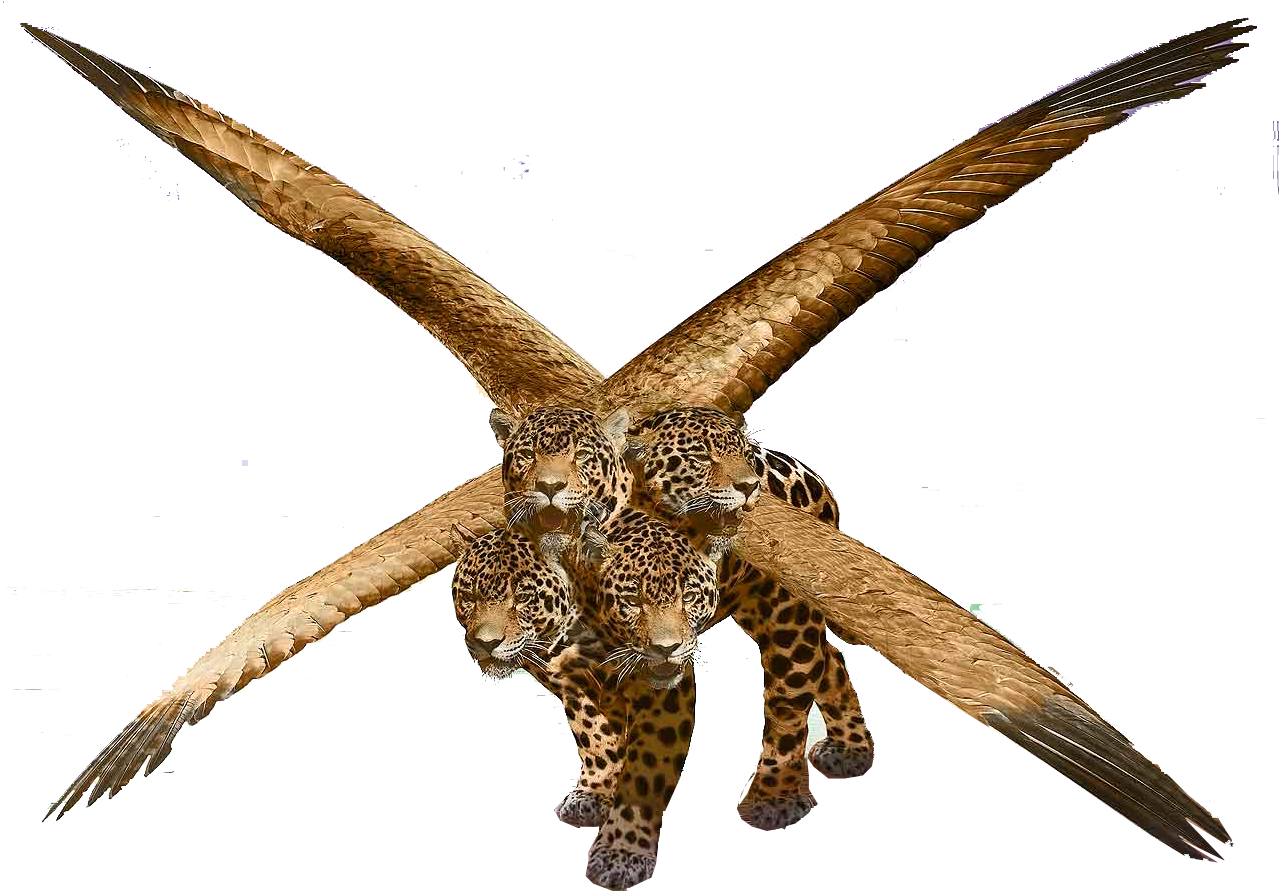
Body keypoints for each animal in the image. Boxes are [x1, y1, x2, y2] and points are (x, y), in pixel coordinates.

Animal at [625, 406, 874, 831]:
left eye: (741, 455)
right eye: (700, 457)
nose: (748, 486)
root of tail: (818, 483)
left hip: (788, 611)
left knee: (795, 690)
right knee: (830, 659)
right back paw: (850, 749)